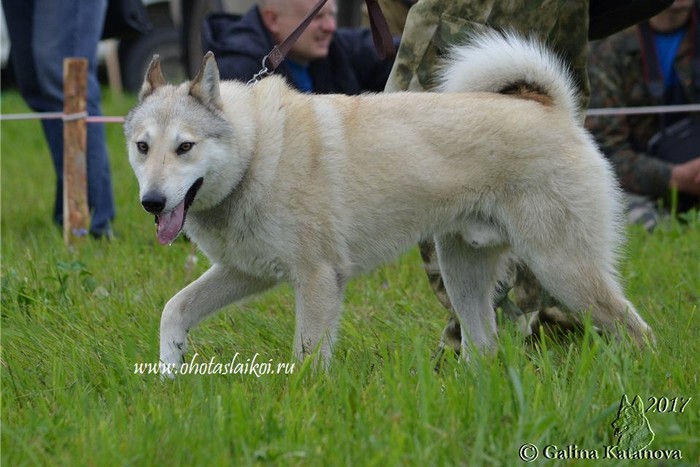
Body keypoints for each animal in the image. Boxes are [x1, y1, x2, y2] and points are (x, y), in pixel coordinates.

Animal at [124, 31, 654, 377]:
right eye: (143, 147)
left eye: (185, 147)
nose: (151, 202)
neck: (256, 153)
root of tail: (547, 107)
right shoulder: (246, 272)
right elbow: (174, 308)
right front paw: (169, 370)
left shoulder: (317, 278)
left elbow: (306, 360)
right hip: (463, 272)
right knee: (483, 345)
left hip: (563, 269)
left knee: (636, 330)